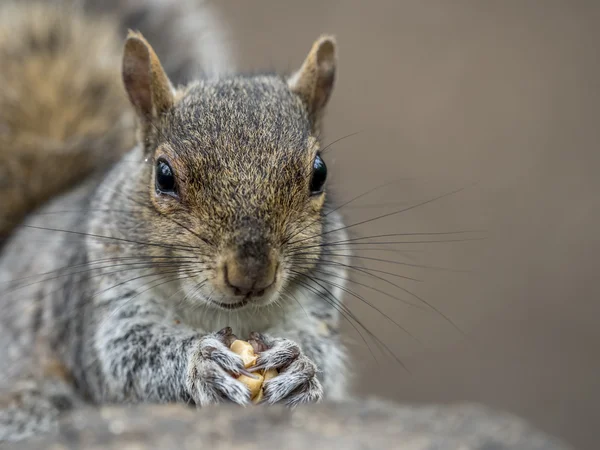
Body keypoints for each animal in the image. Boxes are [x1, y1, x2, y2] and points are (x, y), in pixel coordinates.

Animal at [0, 0, 350, 442]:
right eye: (163, 176)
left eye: (319, 173)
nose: (251, 275)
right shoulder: (101, 305)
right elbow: (127, 359)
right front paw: (202, 363)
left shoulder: (316, 307)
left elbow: (328, 360)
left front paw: (299, 369)